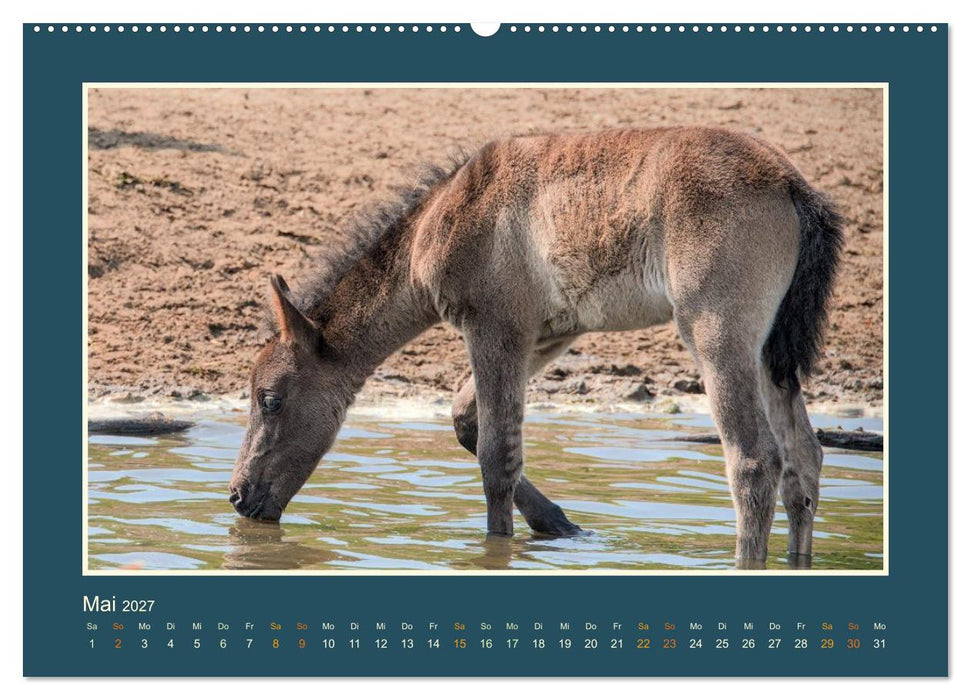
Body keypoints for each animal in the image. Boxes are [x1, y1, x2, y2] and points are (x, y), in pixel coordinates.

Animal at [229, 127, 843, 566]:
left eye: (270, 400)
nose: (237, 497)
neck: (440, 220)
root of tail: (794, 186)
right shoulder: (549, 332)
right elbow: (467, 420)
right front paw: (558, 523)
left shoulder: (494, 327)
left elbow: (496, 455)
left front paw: (498, 547)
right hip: (769, 353)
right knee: (804, 459)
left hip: (717, 333)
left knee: (755, 460)